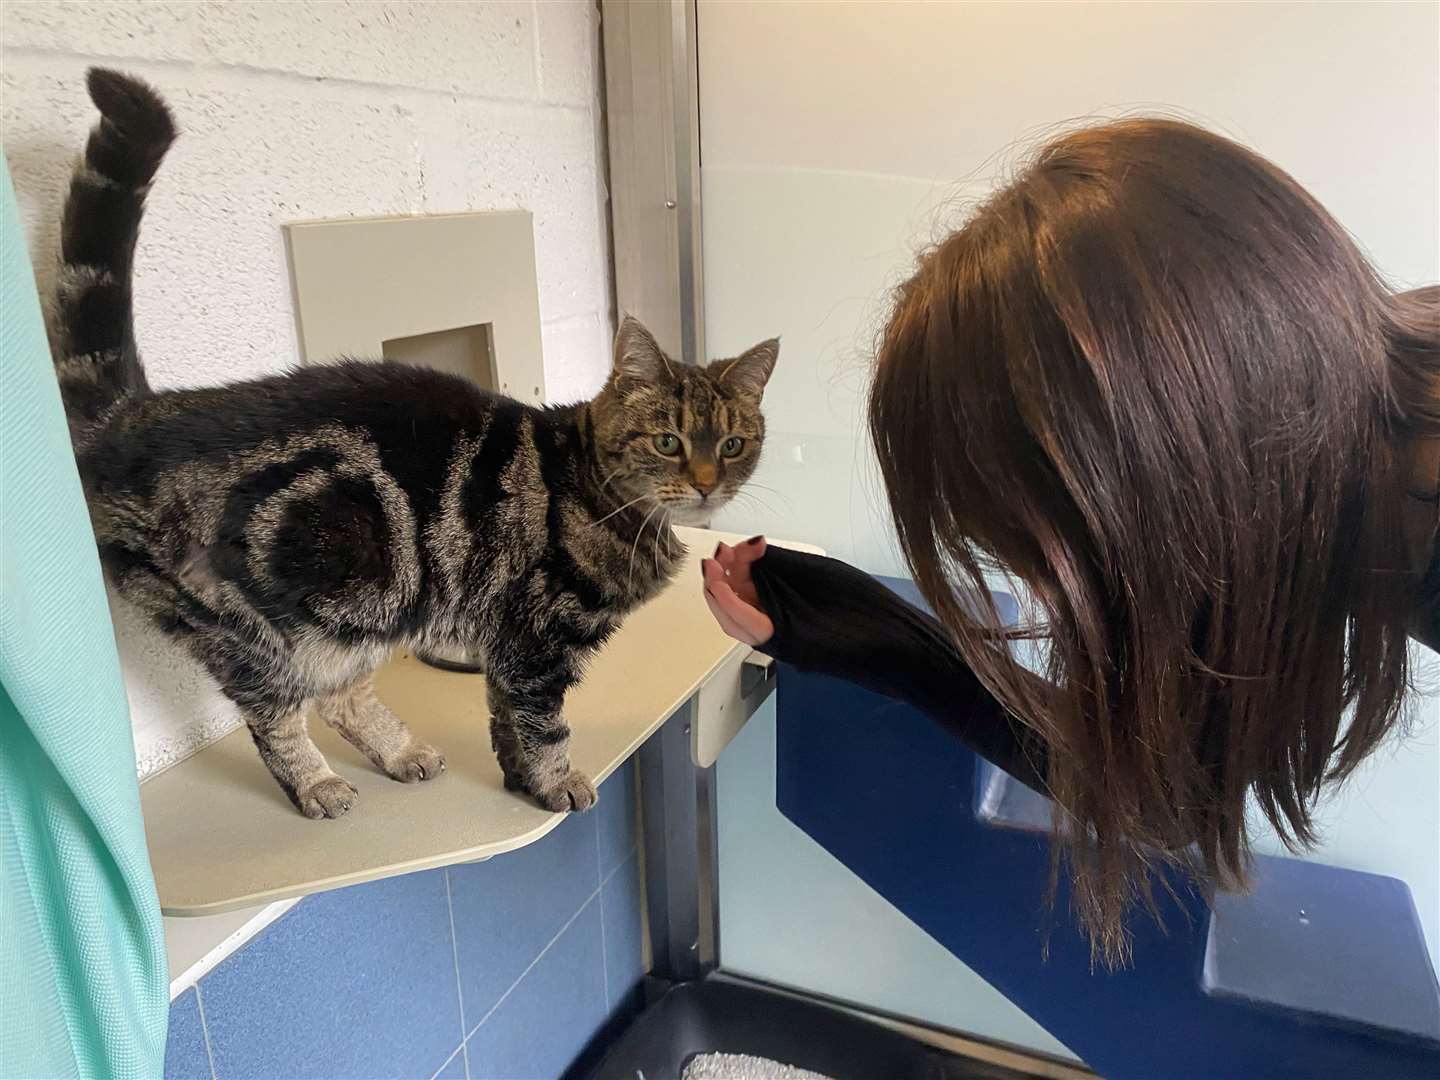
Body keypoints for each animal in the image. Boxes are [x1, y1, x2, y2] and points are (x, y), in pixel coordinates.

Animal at [56, 69, 777, 817]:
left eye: (732, 444)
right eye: (667, 441)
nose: (706, 483)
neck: (606, 500)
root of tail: (136, 416)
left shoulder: (508, 643)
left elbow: (504, 720)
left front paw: (517, 779)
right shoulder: (536, 643)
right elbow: (543, 727)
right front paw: (554, 784)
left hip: (362, 610)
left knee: (339, 695)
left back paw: (400, 752)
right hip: (254, 629)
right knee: (274, 714)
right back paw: (316, 783)